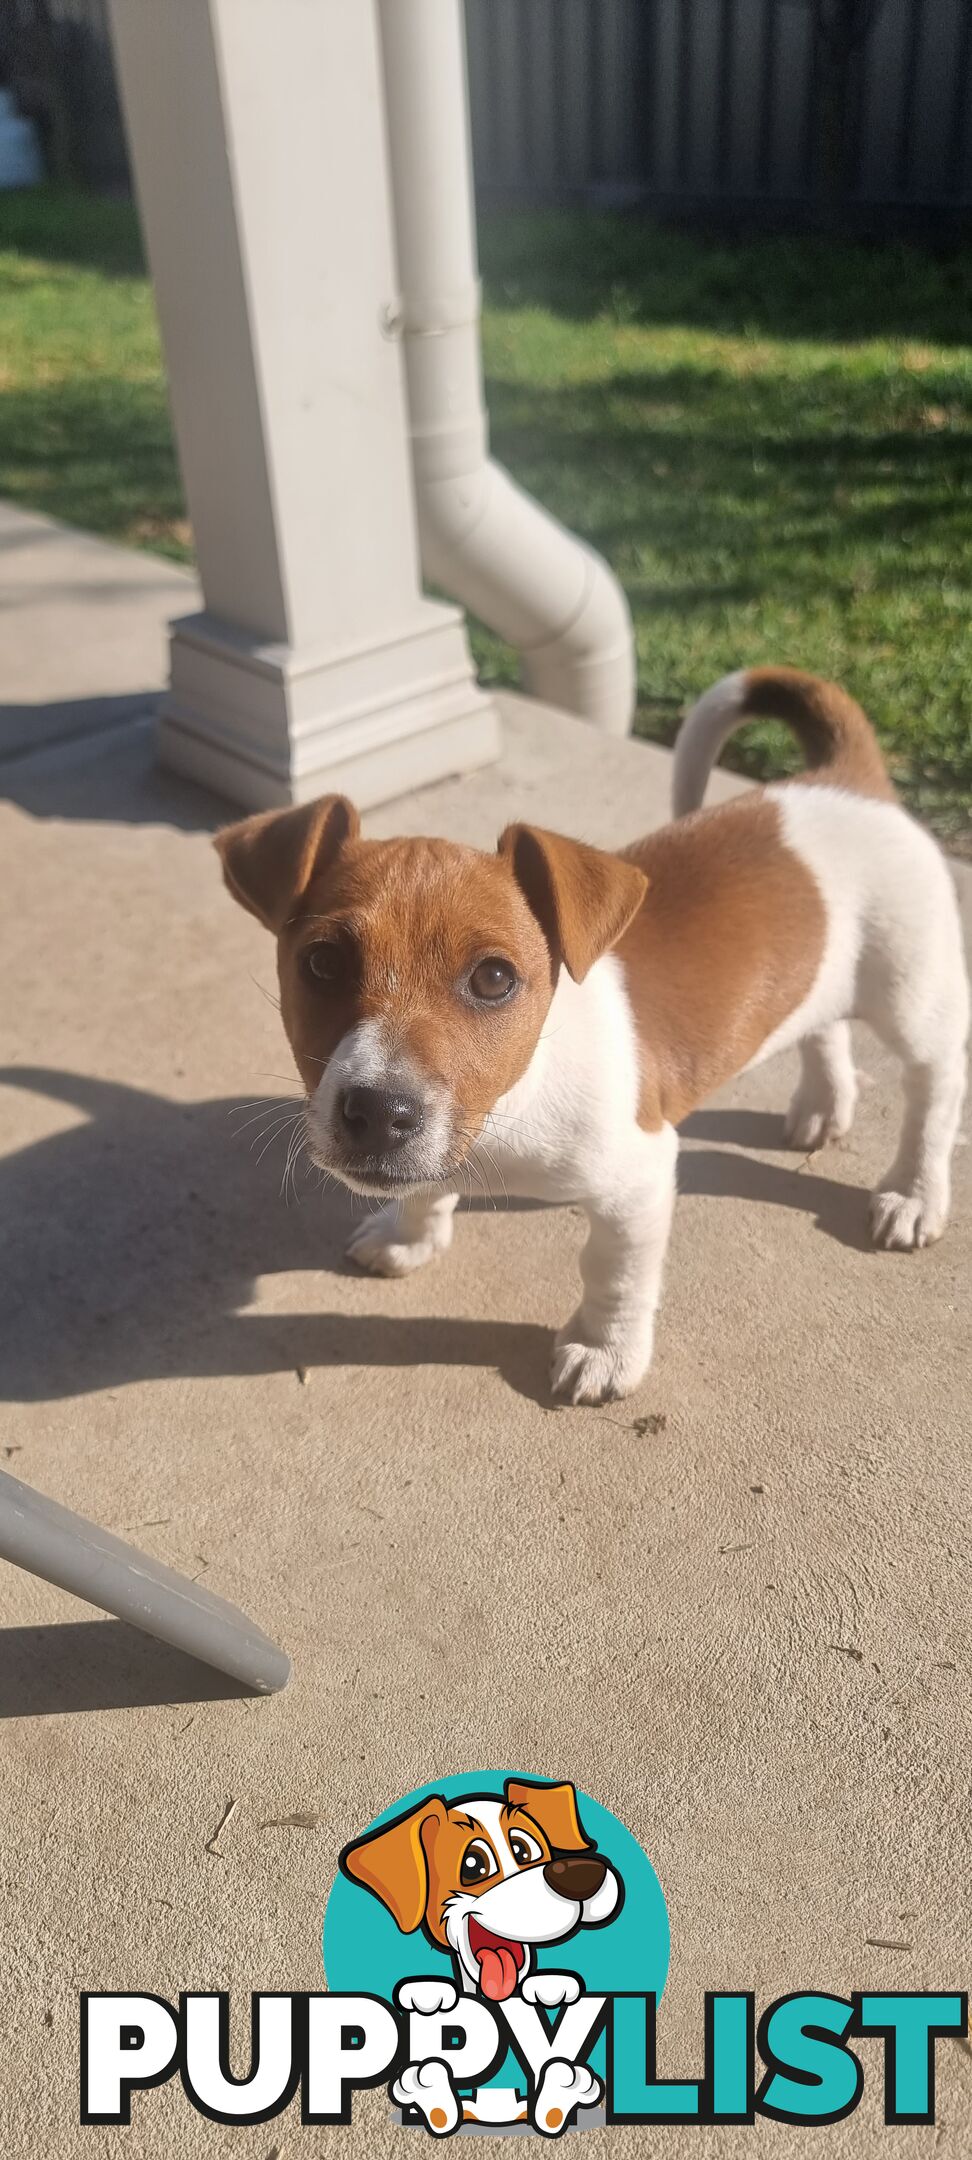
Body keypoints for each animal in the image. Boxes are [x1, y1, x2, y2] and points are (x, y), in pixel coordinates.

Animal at [212, 665, 963, 1408]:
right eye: (323, 963)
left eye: (493, 979)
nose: (375, 1112)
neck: (515, 1095)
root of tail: (845, 778)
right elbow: (426, 1186)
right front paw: (410, 1235)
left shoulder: (639, 1178)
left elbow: (614, 1272)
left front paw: (605, 1352)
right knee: (822, 1023)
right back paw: (823, 1104)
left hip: (913, 993)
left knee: (934, 1090)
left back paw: (915, 1193)